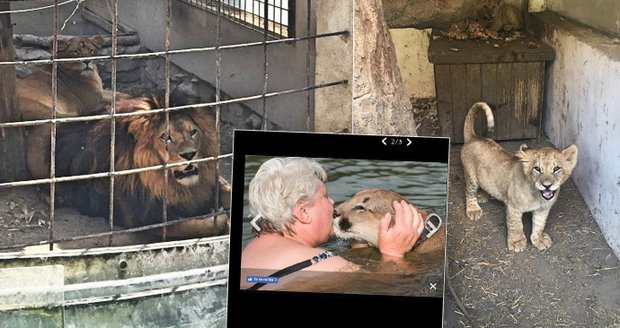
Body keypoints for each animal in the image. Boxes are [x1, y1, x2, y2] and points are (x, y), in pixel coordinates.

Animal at [54, 92, 229, 238]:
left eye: (193, 132)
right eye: (166, 137)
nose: (189, 155)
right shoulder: (143, 218)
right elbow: (205, 224)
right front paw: (217, 215)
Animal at [458, 102, 580, 251]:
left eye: (556, 169)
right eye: (537, 169)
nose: (547, 185)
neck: (537, 195)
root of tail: (474, 138)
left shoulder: (543, 209)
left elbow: (539, 224)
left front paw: (538, 239)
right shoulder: (513, 207)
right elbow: (515, 225)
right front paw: (517, 242)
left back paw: (483, 196)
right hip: (471, 177)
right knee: (469, 192)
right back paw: (473, 209)